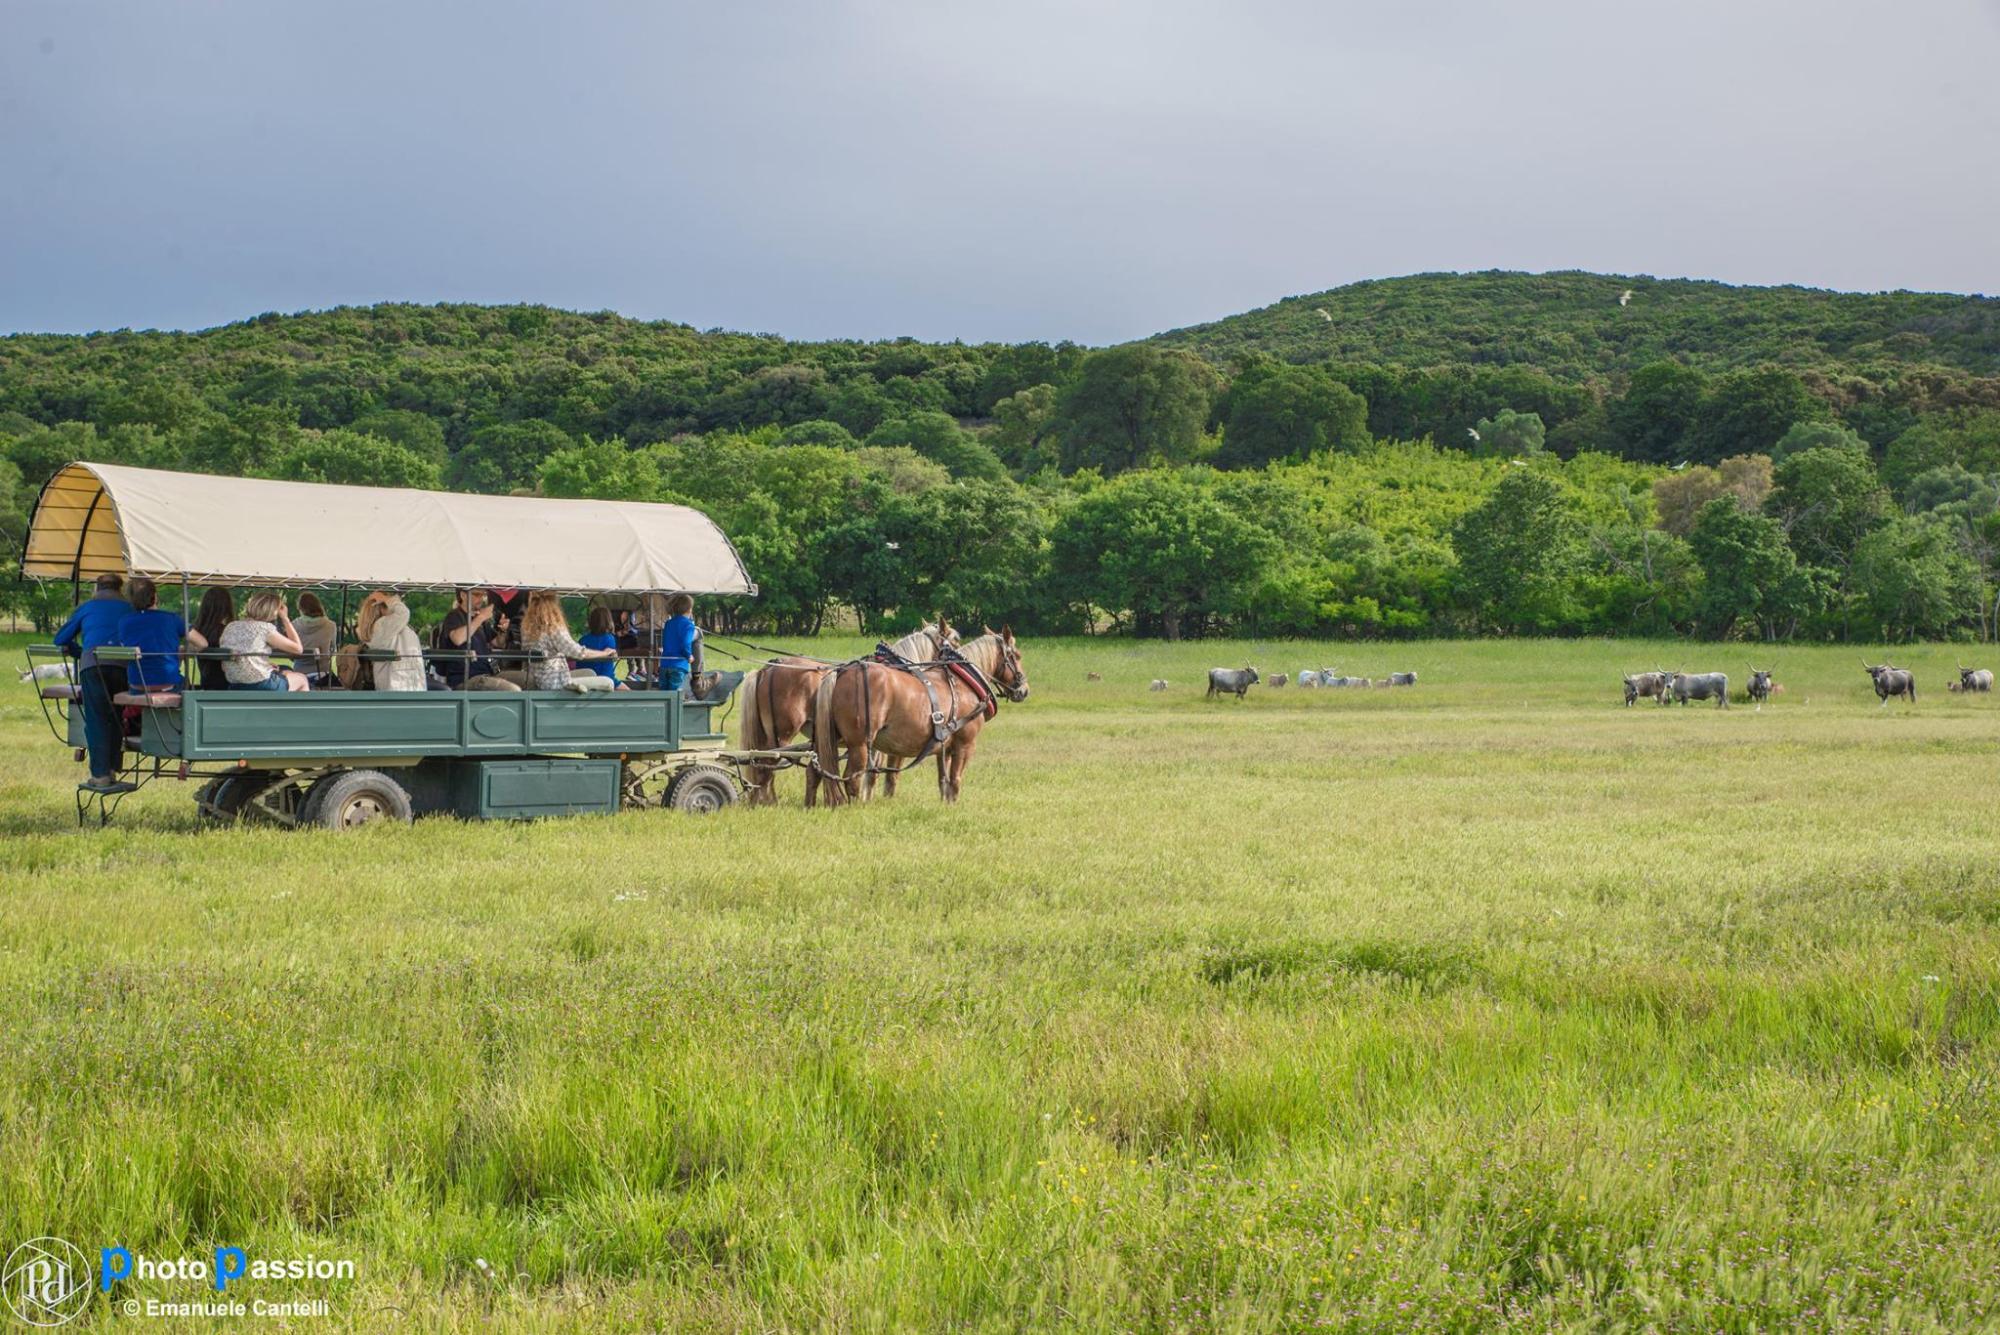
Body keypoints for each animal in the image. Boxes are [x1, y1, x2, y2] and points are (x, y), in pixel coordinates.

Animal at [740, 623, 956, 807]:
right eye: (955, 641)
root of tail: (768, 668)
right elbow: (875, 773)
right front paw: (868, 798)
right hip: (783, 734)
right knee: (766, 765)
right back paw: (765, 801)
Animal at [812, 623, 1032, 803]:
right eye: (1017, 655)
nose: (1024, 690)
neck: (963, 683)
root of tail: (843, 672)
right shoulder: (964, 744)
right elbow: (955, 781)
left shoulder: (944, 747)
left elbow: (943, 781)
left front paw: (944, 805)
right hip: (860, 744)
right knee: (853, 777)